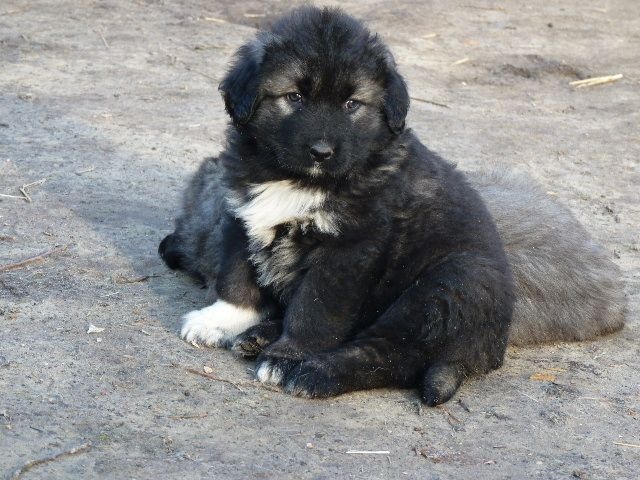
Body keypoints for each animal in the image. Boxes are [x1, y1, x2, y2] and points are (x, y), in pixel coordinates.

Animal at [160, 7, 624, 404]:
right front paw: (222, 320)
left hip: (445, 285)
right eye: (294, 97)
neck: (299, 180)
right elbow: (237, 276)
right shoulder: (242, 214)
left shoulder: (349, 250)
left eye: (352, 104)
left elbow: (315, 310)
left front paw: (289, 354)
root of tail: (488, 348)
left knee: (389, 355)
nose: (322, 151)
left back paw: (313, 373)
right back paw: (260, 335)